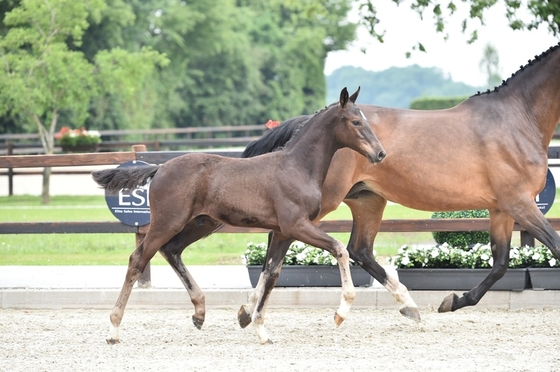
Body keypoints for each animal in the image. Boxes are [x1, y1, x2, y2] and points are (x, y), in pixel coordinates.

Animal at [93, 86, 390, 342]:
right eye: (356, 122)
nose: (380, 153)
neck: (296, 167)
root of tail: (160, 168)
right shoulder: (296, 226)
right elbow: (339, 248)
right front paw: (341, 312)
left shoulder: (283, 232)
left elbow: (271, 273)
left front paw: (259, 328)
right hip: (167, 222)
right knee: (138, 259)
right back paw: (114, 329)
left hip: (200, 223)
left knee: (171, 250)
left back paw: (199, 312)